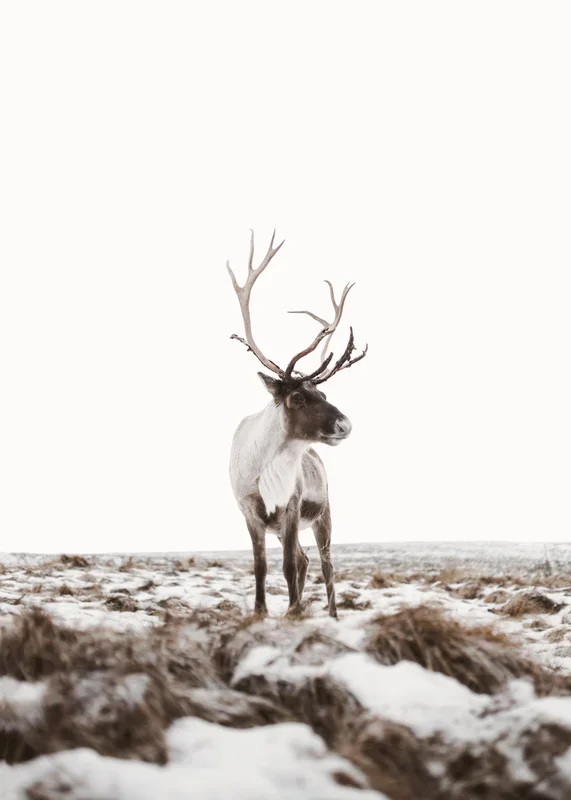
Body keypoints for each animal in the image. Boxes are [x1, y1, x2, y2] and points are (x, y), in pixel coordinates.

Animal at [227, 231, 367, 618]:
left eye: (321, 390)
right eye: (298, 397)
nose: (346, 425)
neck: (268, 465)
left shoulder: (290, 507)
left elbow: (289, 565)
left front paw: (293, 611)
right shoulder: (250, 511)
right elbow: (261, 565)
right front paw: (262, 611)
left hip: (324, 514)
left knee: (325, 563)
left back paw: (331, 614)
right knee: (306, 559)